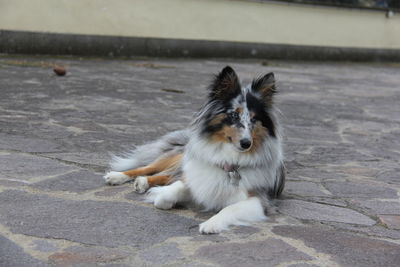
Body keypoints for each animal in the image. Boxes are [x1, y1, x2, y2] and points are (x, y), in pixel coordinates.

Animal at [103, 67, 284, 234]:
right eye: (234, 115)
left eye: (254, 119)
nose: (246, 143)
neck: (229, 161)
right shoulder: (196, 179)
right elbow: (167, 195)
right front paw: (162, 196)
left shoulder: (258, 200)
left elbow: (229, 208)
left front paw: (211, 224)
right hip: (178, 156)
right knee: (150, 167)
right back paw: (118, 176)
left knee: (166, 174)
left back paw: (143, 182)